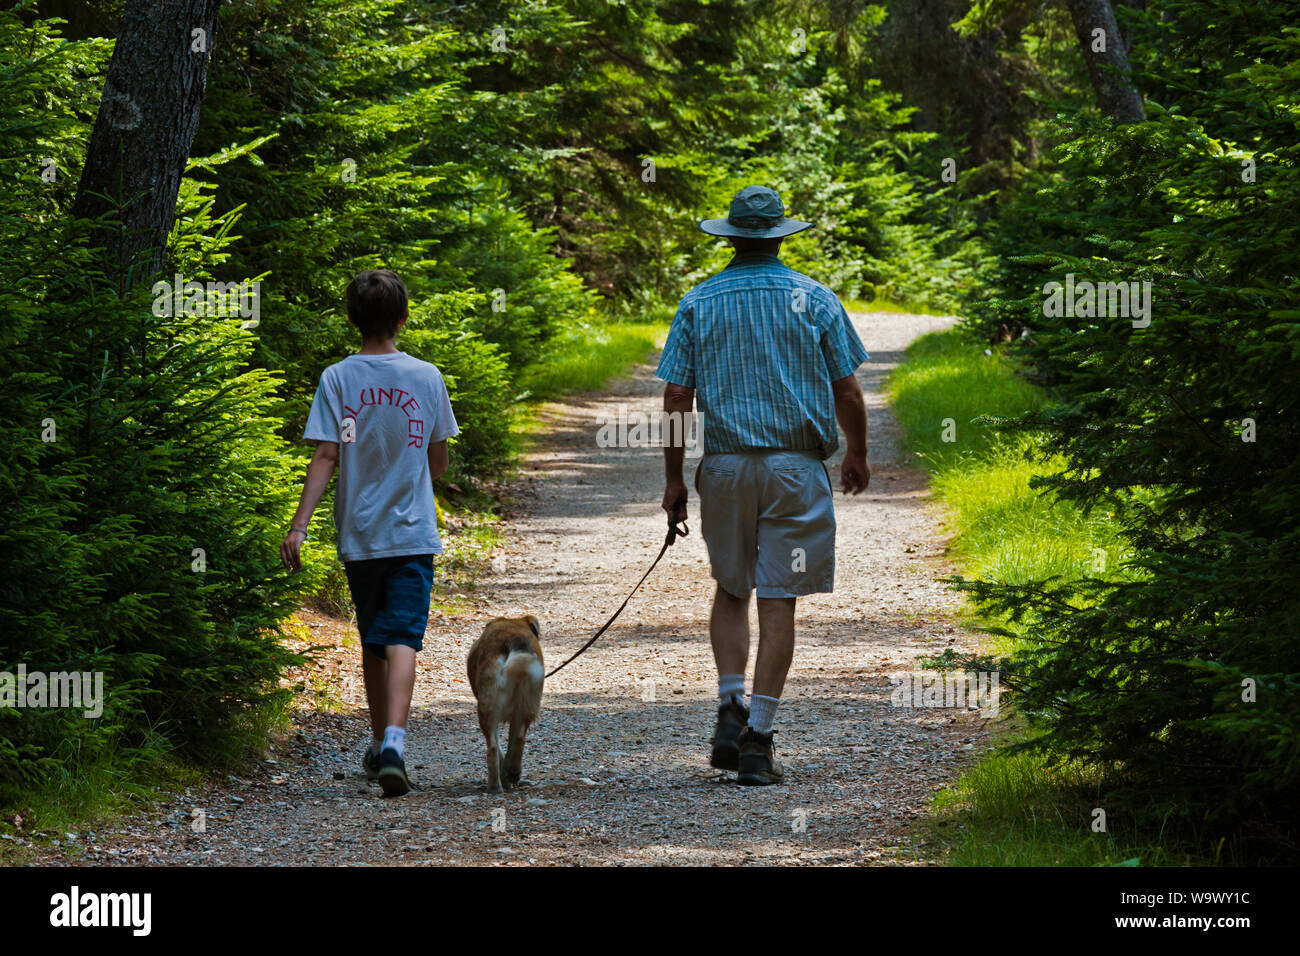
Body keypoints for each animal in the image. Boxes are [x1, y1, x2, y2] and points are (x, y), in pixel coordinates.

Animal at [465, 613, 540, 790]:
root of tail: (514, 639)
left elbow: (498, 748)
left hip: (487, 707)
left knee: (492, 748)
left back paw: (494, 787)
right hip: (528, 704)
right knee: (519, 738)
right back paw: (512, 773)